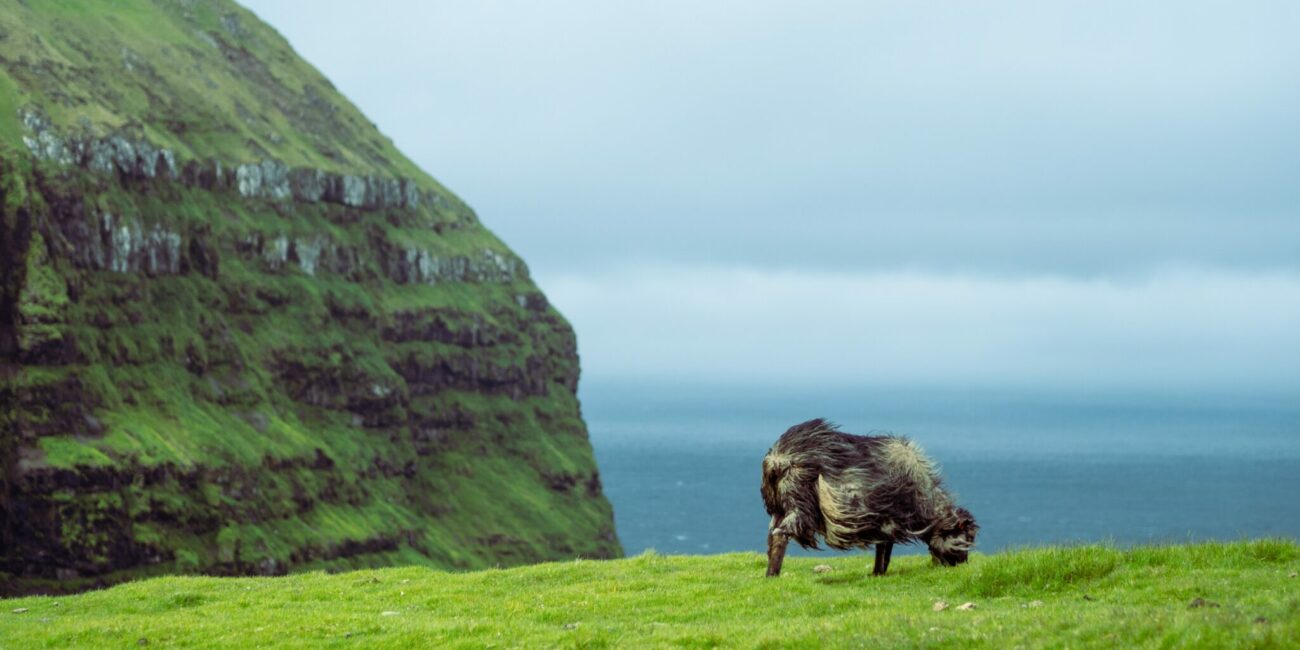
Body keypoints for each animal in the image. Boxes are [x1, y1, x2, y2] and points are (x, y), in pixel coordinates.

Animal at [759, 418, 977, 577]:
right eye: (965, 537)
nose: (962, 565)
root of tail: (777, 459)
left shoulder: (884, 524)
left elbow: (884, 548)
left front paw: (877, 573)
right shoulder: (888, 520)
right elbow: (884, 550)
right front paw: (879, 573)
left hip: (777, 505)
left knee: (771, 535)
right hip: (800, 503)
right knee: (780, 535)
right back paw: (773, 575)